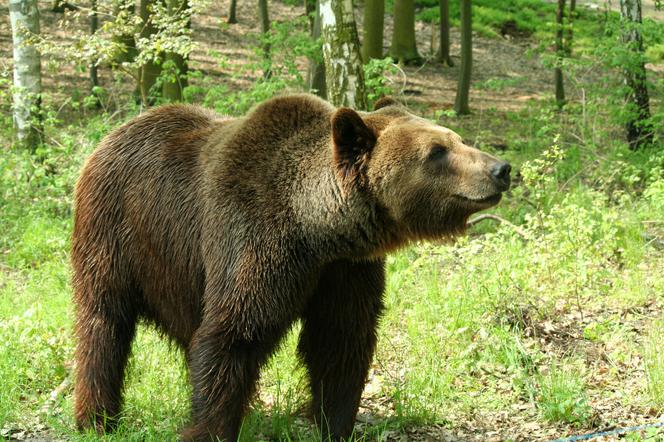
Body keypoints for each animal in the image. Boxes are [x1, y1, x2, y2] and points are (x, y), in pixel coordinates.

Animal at [71, 92, 508, 438]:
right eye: (437, 151)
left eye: (457, 139)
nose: (500, 169)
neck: (316, 230)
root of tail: (113, 134)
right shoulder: (252, 241)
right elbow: (233, 335)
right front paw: (209, 428)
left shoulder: (345, 270)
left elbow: (340, 341)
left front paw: (335, 423)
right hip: (114, 232)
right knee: (103, 324)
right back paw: (97, 419)